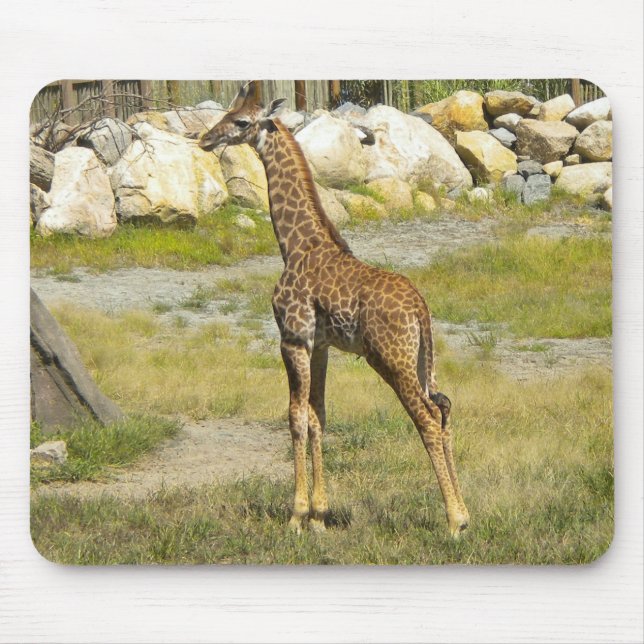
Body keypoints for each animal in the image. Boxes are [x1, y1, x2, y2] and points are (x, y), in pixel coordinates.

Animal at [198, 83, 469, 538]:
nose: (204, 139)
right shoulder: (321, 346)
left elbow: (296, 418)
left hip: (391, 360)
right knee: (445, 407)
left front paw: (296, 516)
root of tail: (420, 308)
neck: (295, 244)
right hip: (421, 359)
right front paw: (320, 516)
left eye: (241, 121)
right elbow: (319, 417)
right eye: (226, 113)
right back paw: (465, 513)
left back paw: (453, 521)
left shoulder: (292, 338)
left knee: (428, 417)